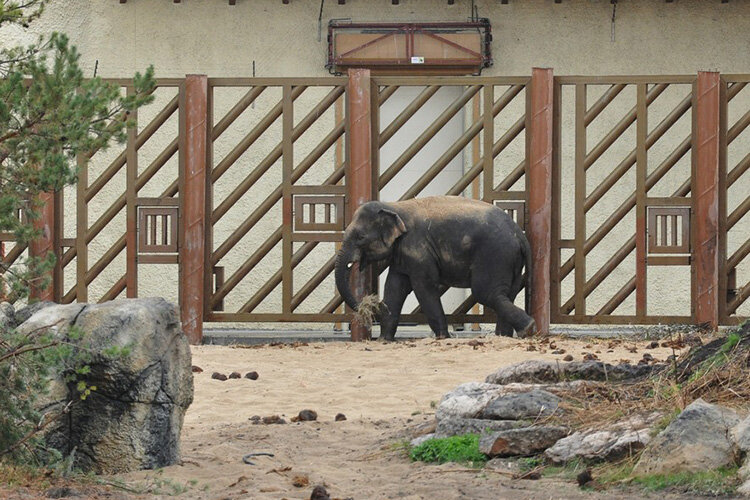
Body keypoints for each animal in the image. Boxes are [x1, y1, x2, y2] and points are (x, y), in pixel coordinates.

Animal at [334, 195, 536, 340]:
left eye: (360, 237)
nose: (371, 305)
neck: (394, 206)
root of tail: (519, 234)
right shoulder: (403, 252)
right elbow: (395, 287)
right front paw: (384, 340)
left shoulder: (418, 247)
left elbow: (423, 287)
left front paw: (442, 337)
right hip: (511, 261)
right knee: (507, 293)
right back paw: (505, 336)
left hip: (495, 255)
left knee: (486, 293)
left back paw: (527, 328)